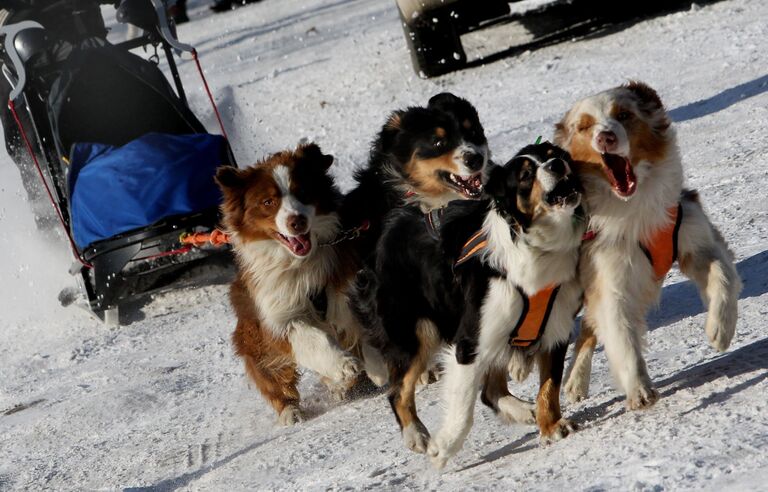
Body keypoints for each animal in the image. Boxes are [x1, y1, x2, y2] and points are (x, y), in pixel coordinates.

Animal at [219, 143, 390, 426]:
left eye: (302, 192)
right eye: (268, 202)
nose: (296, 221)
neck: (301, 263)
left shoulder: (350, 282)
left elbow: (365, 324)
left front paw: (378, 366)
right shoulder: (278, 314)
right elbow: (308, 337)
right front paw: (344, 365)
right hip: (252, 334)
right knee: (270, 374)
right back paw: (291, 410)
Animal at [356, 141, 584, 466]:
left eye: (556, 155)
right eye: (526, 175)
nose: (556, 165)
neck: (535, 250)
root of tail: (390, 224)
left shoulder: (555, 325)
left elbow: (549, 386)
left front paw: (551, 425)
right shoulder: (469, 341)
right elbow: (463, 407)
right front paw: (443, 449)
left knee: (491, 391)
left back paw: (525, 411)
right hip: (415, 332)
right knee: (398, 391)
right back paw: (417, 436)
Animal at [552, 82, 744, 410]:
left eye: (624, 115)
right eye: (584, 126)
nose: (605, 137)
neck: (634, 208)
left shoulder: (696, 240)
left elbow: (723, 275)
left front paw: (720, 329)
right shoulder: (610, 279)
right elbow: (621, 336)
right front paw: (639, 389)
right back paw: (575, 382)